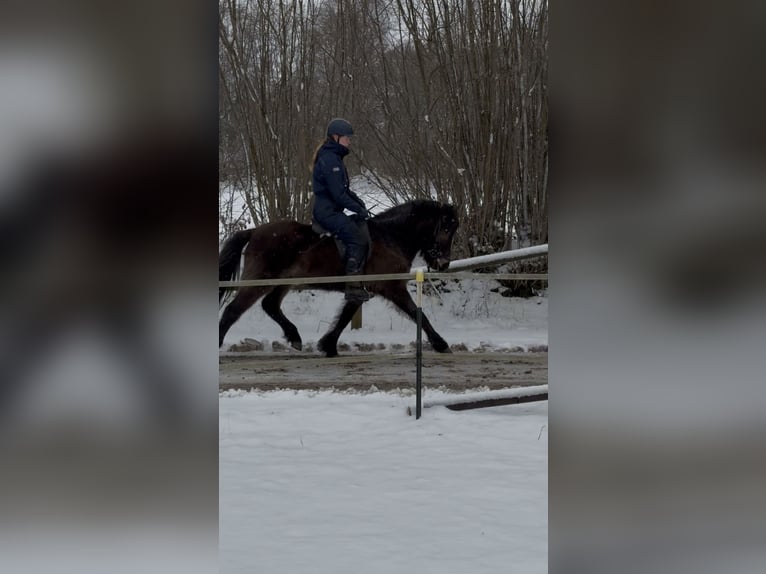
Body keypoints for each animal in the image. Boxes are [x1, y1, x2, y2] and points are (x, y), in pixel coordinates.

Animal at [218, 199, 459, 357]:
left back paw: (295, 337)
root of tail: (254, 231)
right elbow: (418, 314)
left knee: (270, 305)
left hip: (284, 281)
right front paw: (441, 343)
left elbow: (345, 316)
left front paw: (328, 345)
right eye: (446, 228)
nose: (443, 264)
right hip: (259, 281)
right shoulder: (392, 287)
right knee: (233, 310)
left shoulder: (361, 289)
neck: (391, 237)